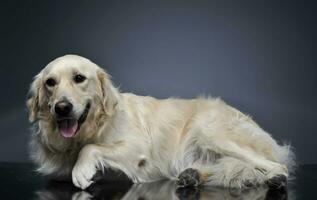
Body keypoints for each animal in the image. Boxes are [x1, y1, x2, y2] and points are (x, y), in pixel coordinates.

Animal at [27, 55, 294, 191]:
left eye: (79, 78)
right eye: (50, 82)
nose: (62, 108)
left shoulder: (138, 148)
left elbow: (91, 148)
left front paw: (82, 169)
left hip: (209, 131)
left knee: (276, 166)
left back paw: (275, 178)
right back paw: (191, 175)